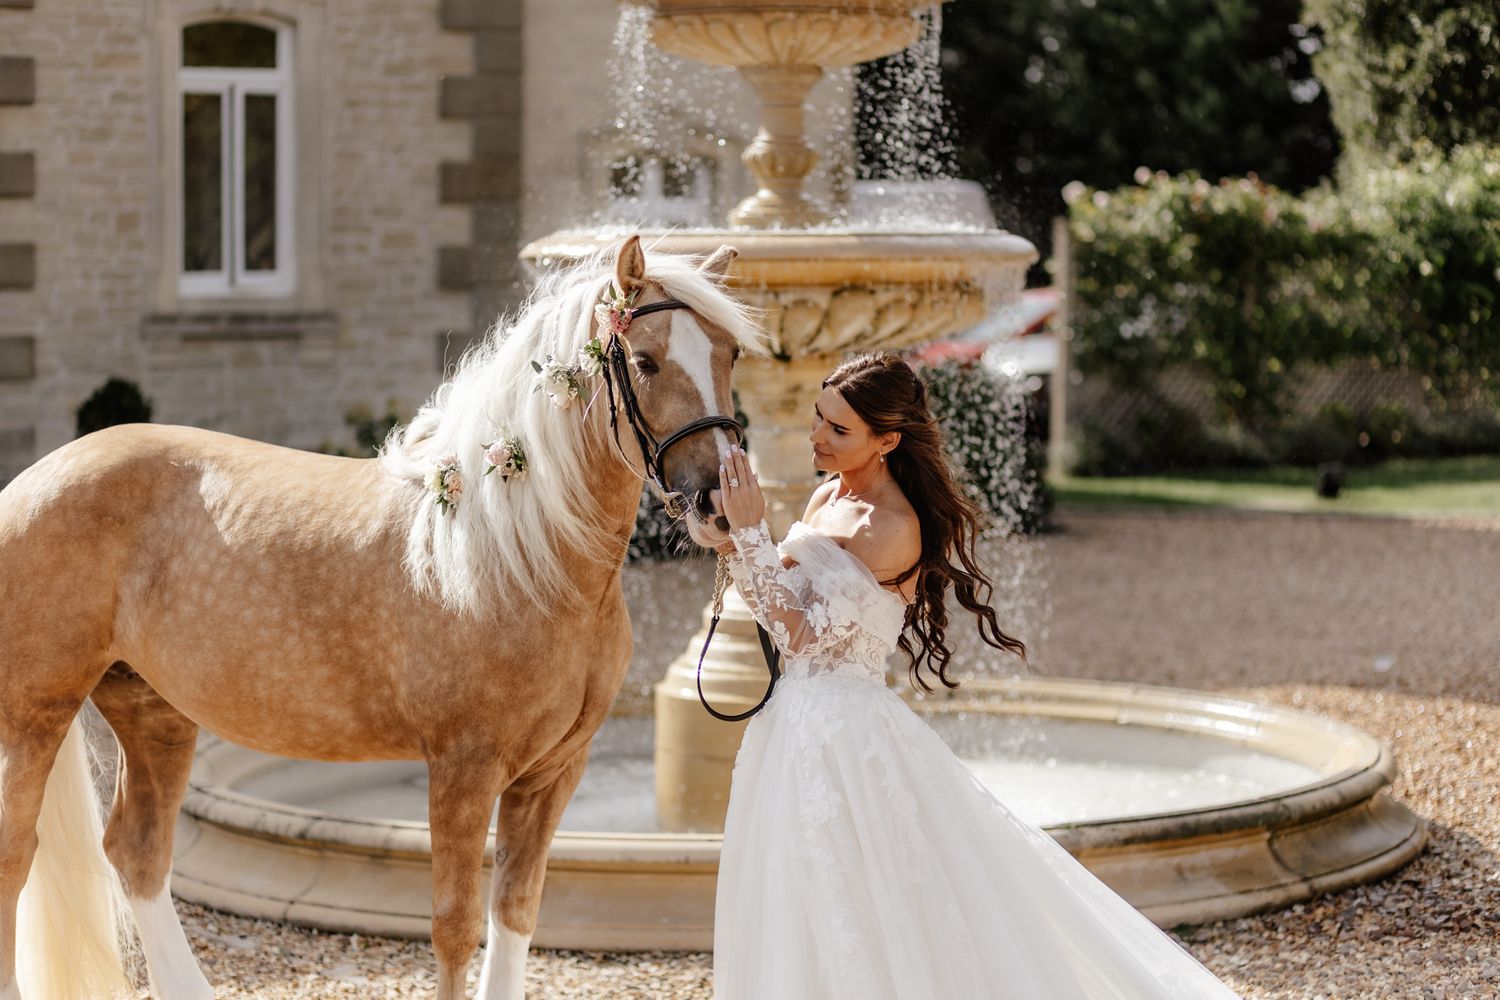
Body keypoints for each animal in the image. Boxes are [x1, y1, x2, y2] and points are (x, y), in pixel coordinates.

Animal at [0, 235, 752, 999]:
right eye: (646, 360)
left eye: (729, 355)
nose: (721, 502)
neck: (516, 553)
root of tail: (30, 482)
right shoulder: (463, 768)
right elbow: (455, 928)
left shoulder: (553, 773)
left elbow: (515, 914)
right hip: (35, 714)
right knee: (17, 853)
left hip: (152, 709)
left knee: (138, 852)